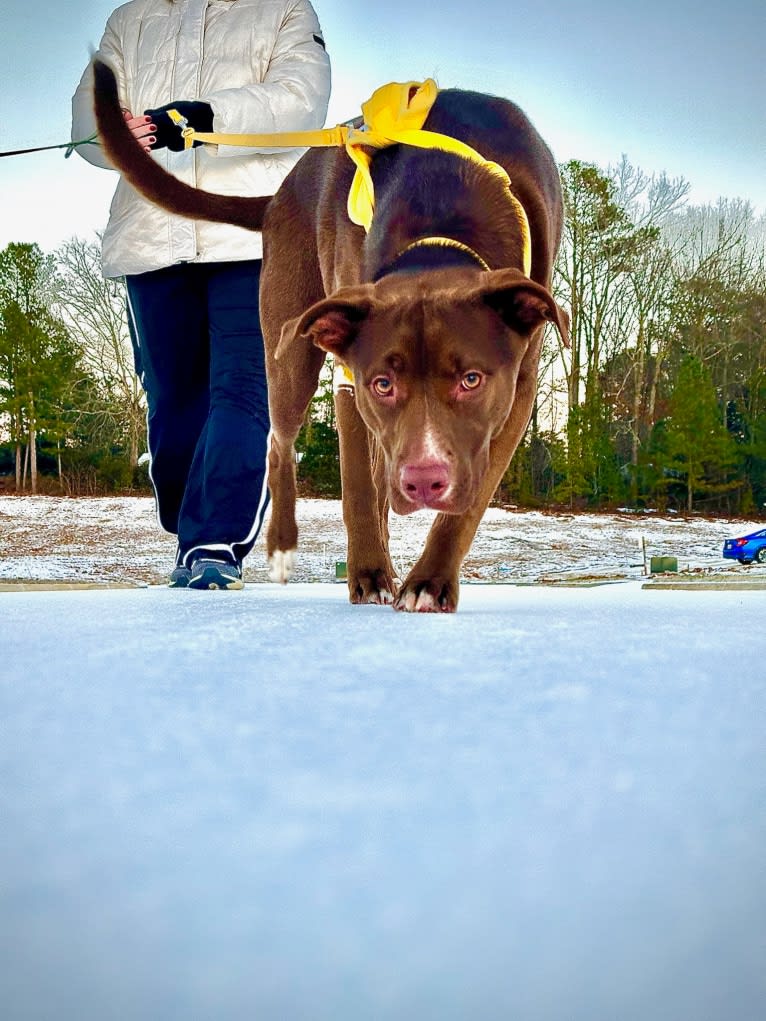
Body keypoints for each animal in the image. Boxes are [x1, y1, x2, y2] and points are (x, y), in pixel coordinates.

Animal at [92, 59, 567, 608]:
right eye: (382, 383)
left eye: (472, 379)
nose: (424, 482)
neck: (443, 232)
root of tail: (278, 193)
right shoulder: (350, 376)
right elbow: (358, 484)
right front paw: (369, 576)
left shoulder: (516, 392)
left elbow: (469, 502)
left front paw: (428, 582)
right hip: (287, 344)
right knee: (279, 443)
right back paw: (281, 547)